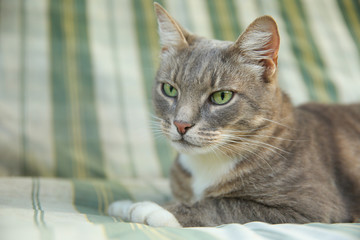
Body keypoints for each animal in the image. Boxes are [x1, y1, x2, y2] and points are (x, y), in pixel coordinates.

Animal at [108, 2, 360, 227]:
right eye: (169, 89)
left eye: (221, 97)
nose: (180, 124)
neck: (208, 162)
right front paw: (126, 205)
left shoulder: (309, 206)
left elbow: (223, 205)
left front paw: (154, 209)